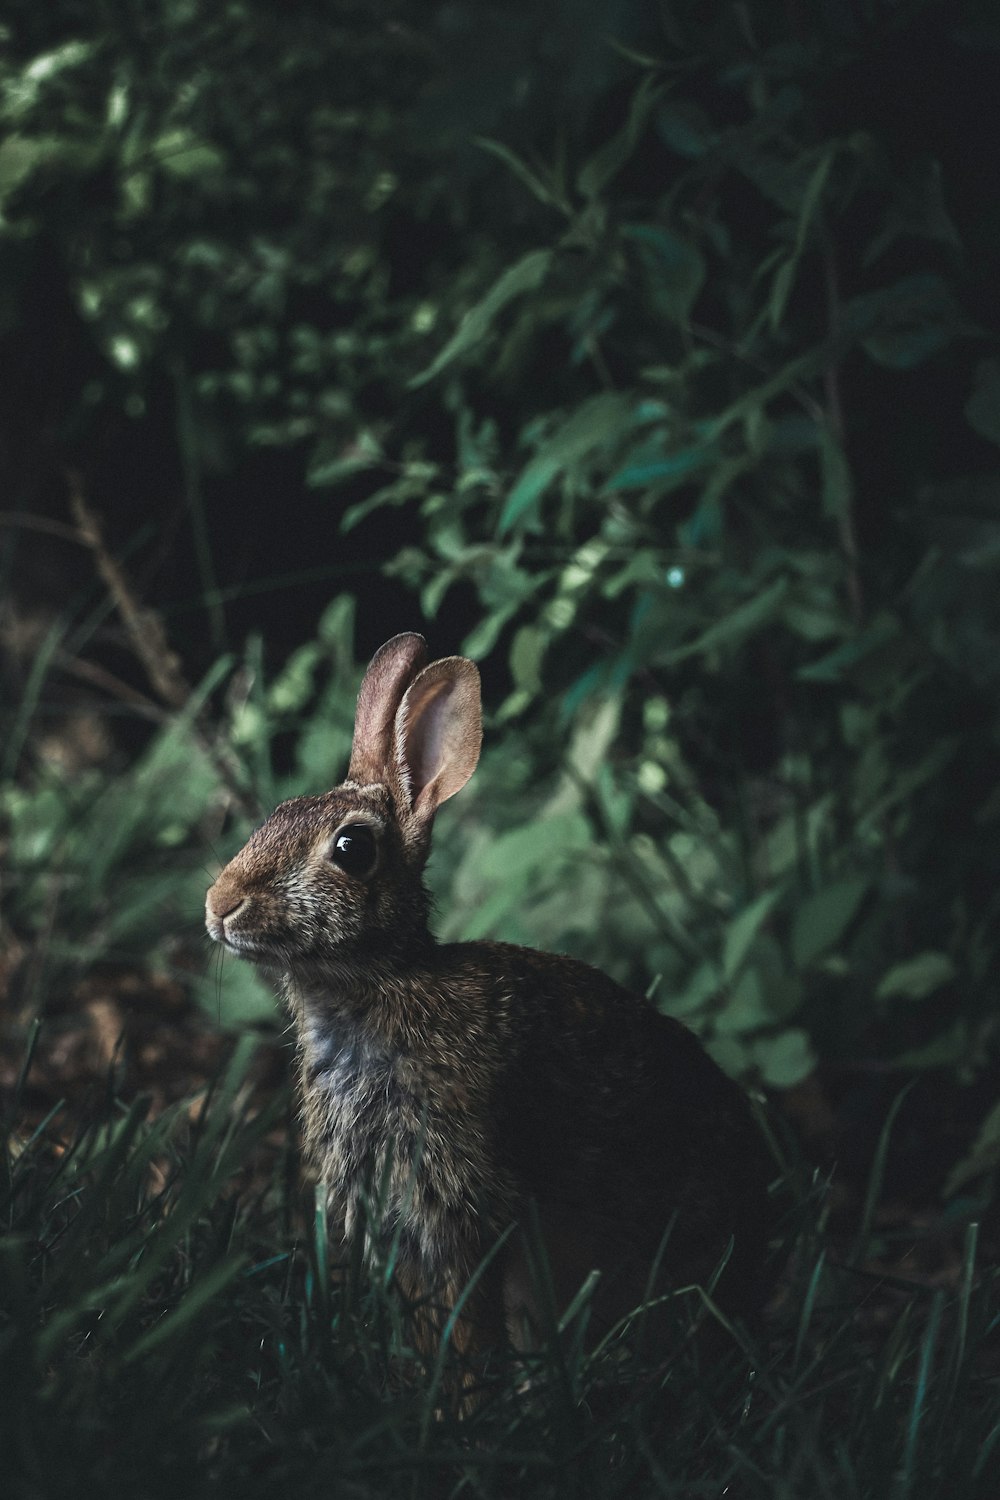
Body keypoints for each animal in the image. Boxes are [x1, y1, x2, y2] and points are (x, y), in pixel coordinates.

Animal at [205, 633, 773, 1374]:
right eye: (273, 816)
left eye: (352, 849)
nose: (219, 905)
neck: (381, 985)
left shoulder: (458, 1207)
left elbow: (468, 1331)